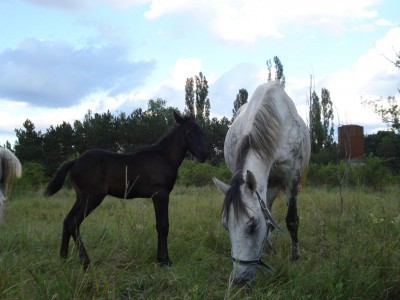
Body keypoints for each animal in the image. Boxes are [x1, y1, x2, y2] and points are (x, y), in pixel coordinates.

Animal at [212, 81, 310, 284]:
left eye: (252, 225)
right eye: (226, 226)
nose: (240, 279)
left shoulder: (292, 177)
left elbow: (292, 220)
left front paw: (295, 259)